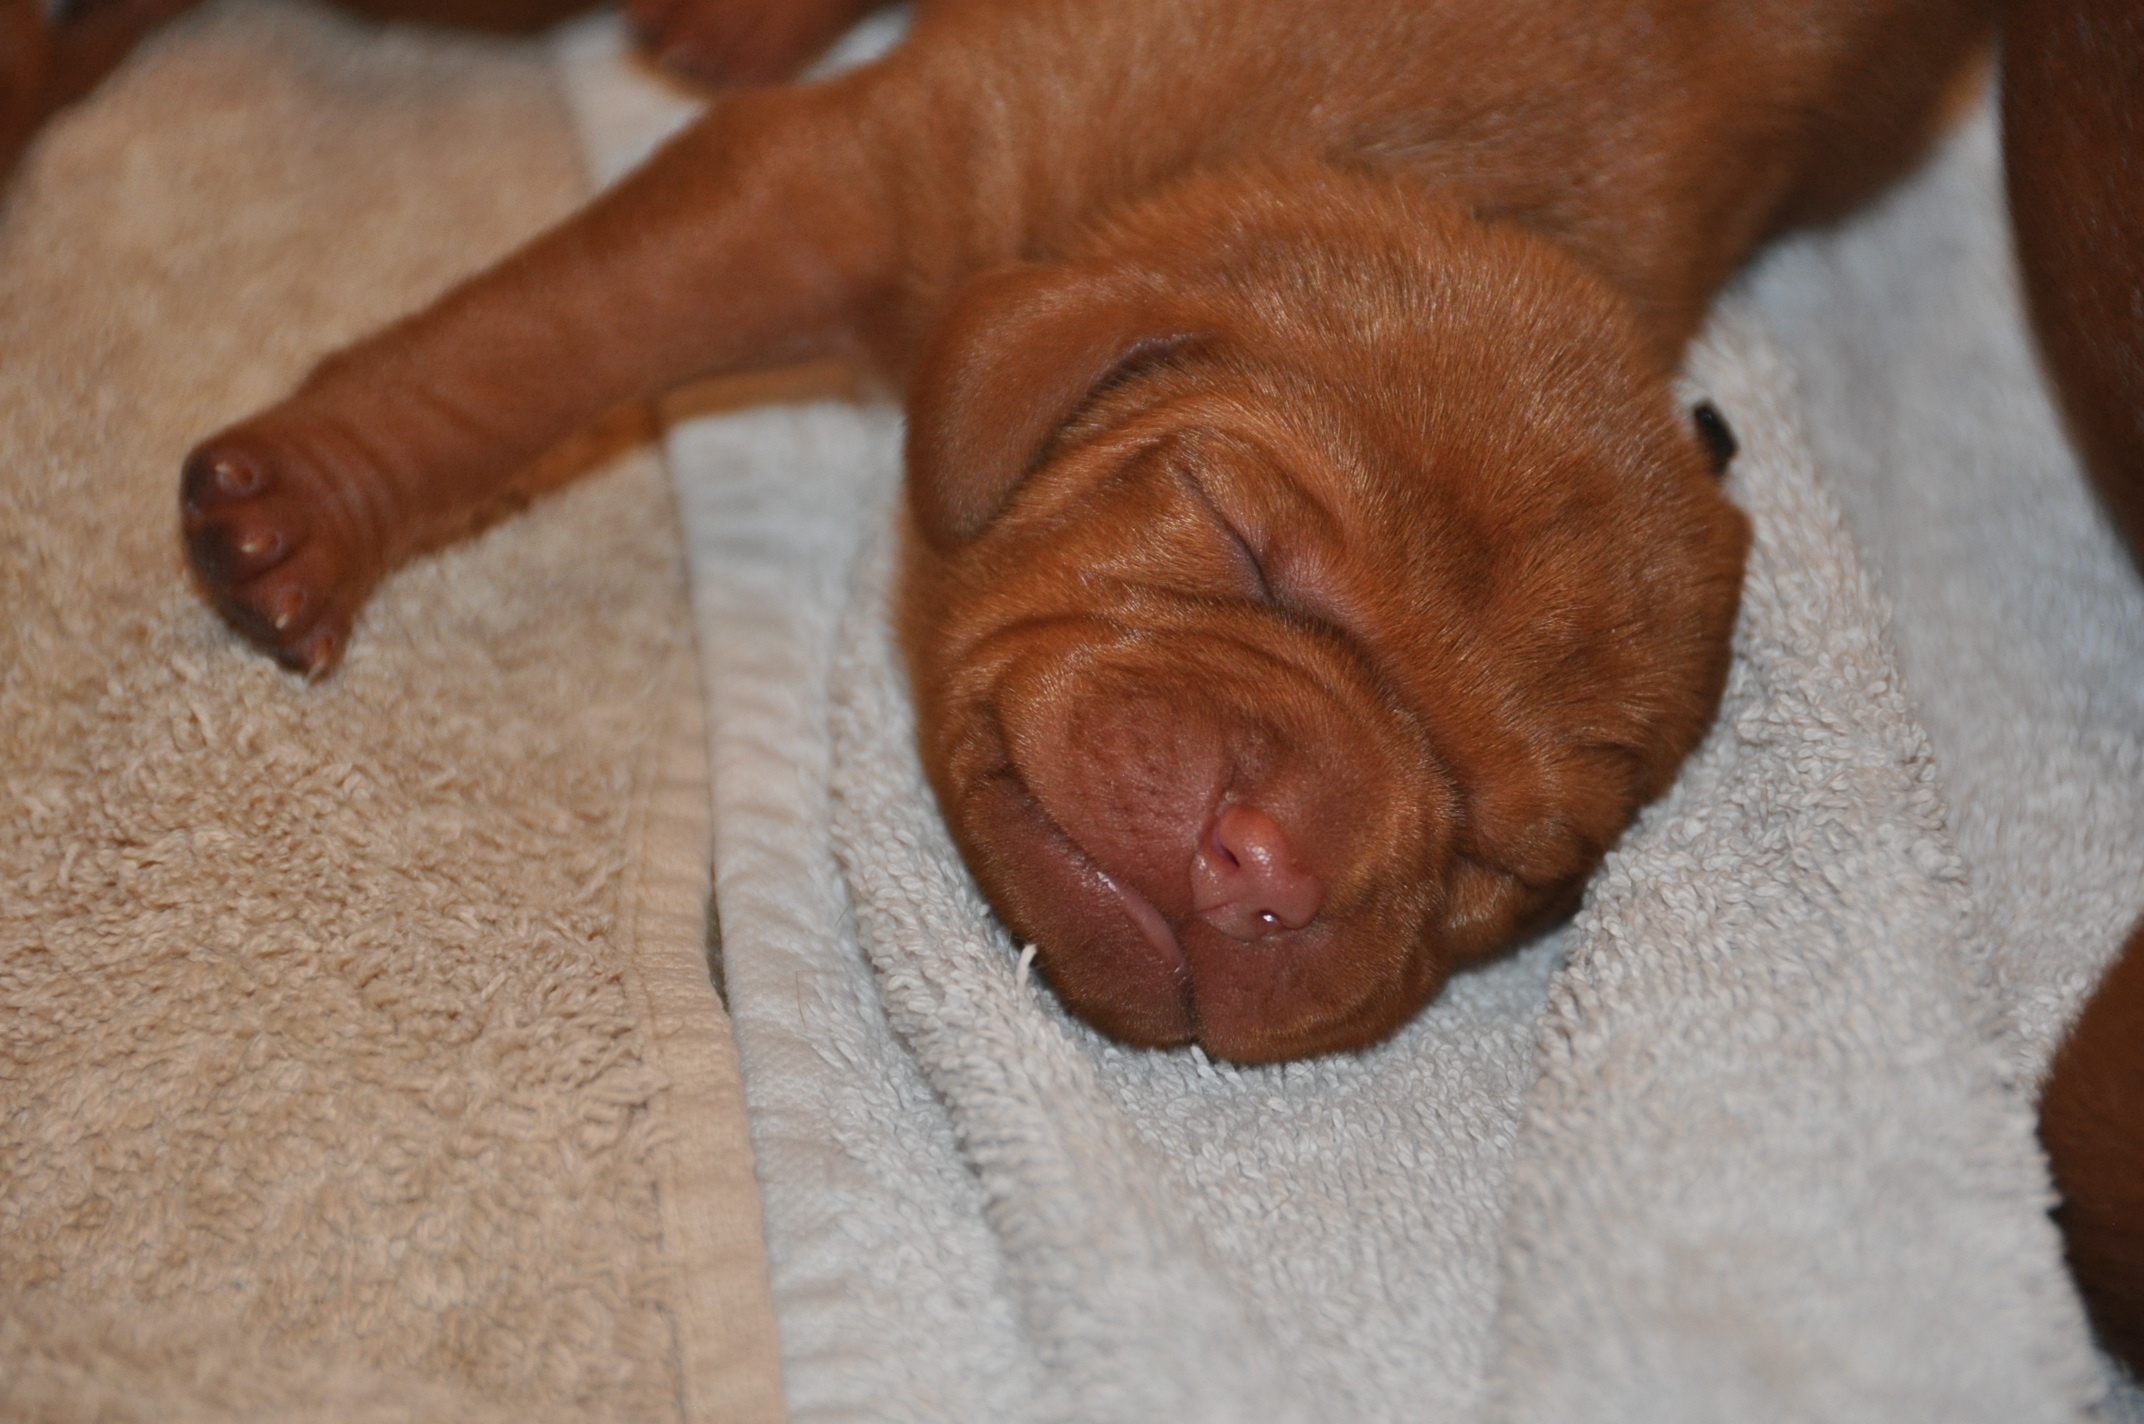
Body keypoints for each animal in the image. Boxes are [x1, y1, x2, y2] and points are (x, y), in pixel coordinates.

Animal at [145, 0, 2143, 1368]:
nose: (1261, 861)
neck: (1472, 185)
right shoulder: (849, 183)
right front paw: (313, 502)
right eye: (1245, 542)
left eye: (1505, 856)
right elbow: (538, 339)